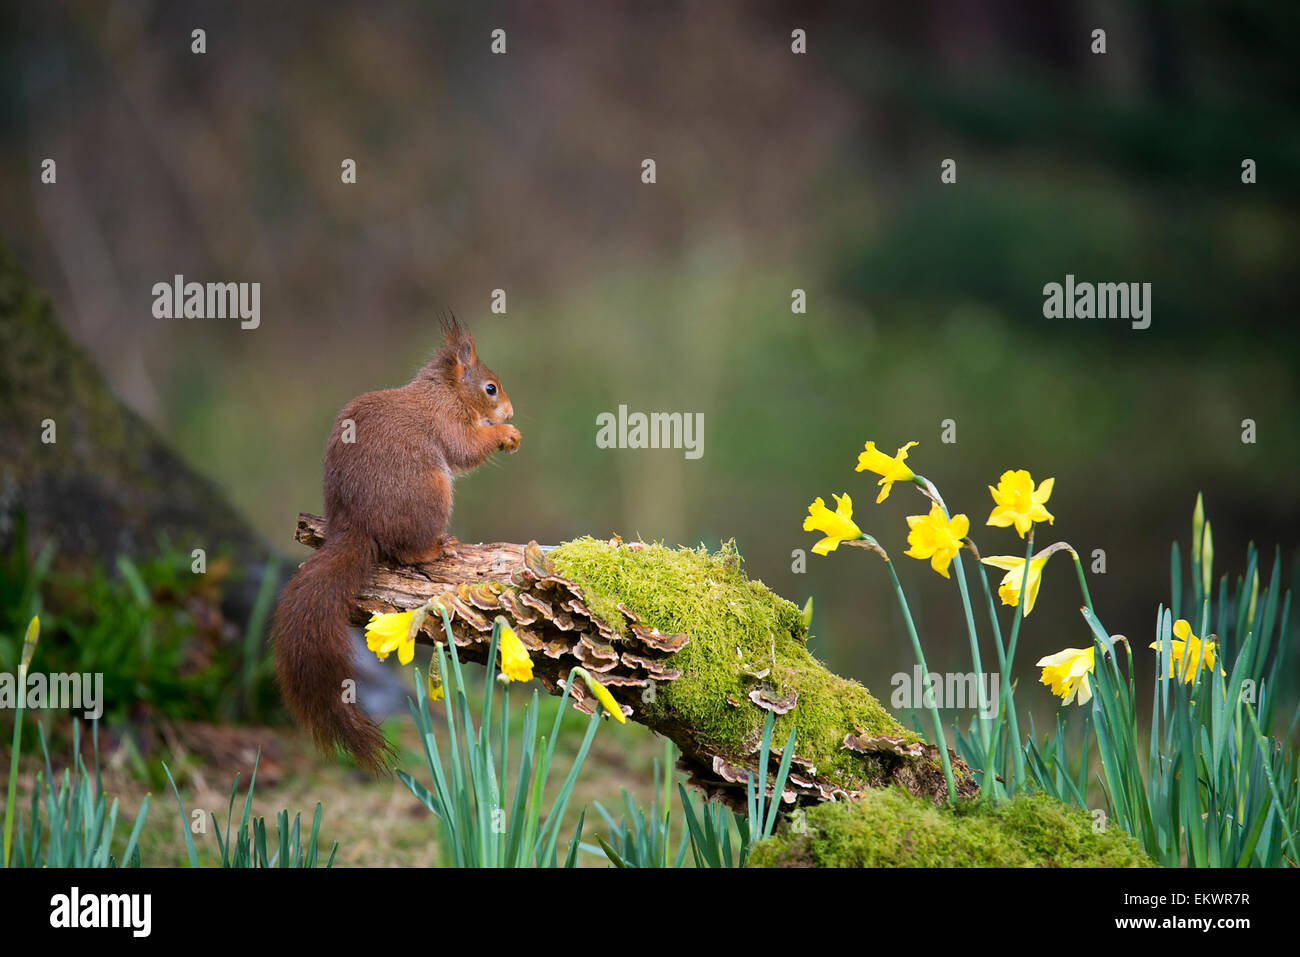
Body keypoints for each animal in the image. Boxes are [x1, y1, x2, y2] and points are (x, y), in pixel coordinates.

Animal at [273, 314, 517, 769]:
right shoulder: (447, 420)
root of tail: (355, 526)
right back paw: (437, 547)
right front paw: (506, 434)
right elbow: (465, 448)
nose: (510, 411)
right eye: (490, 388)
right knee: (405, 550)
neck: (446, 391)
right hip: (431, 491)